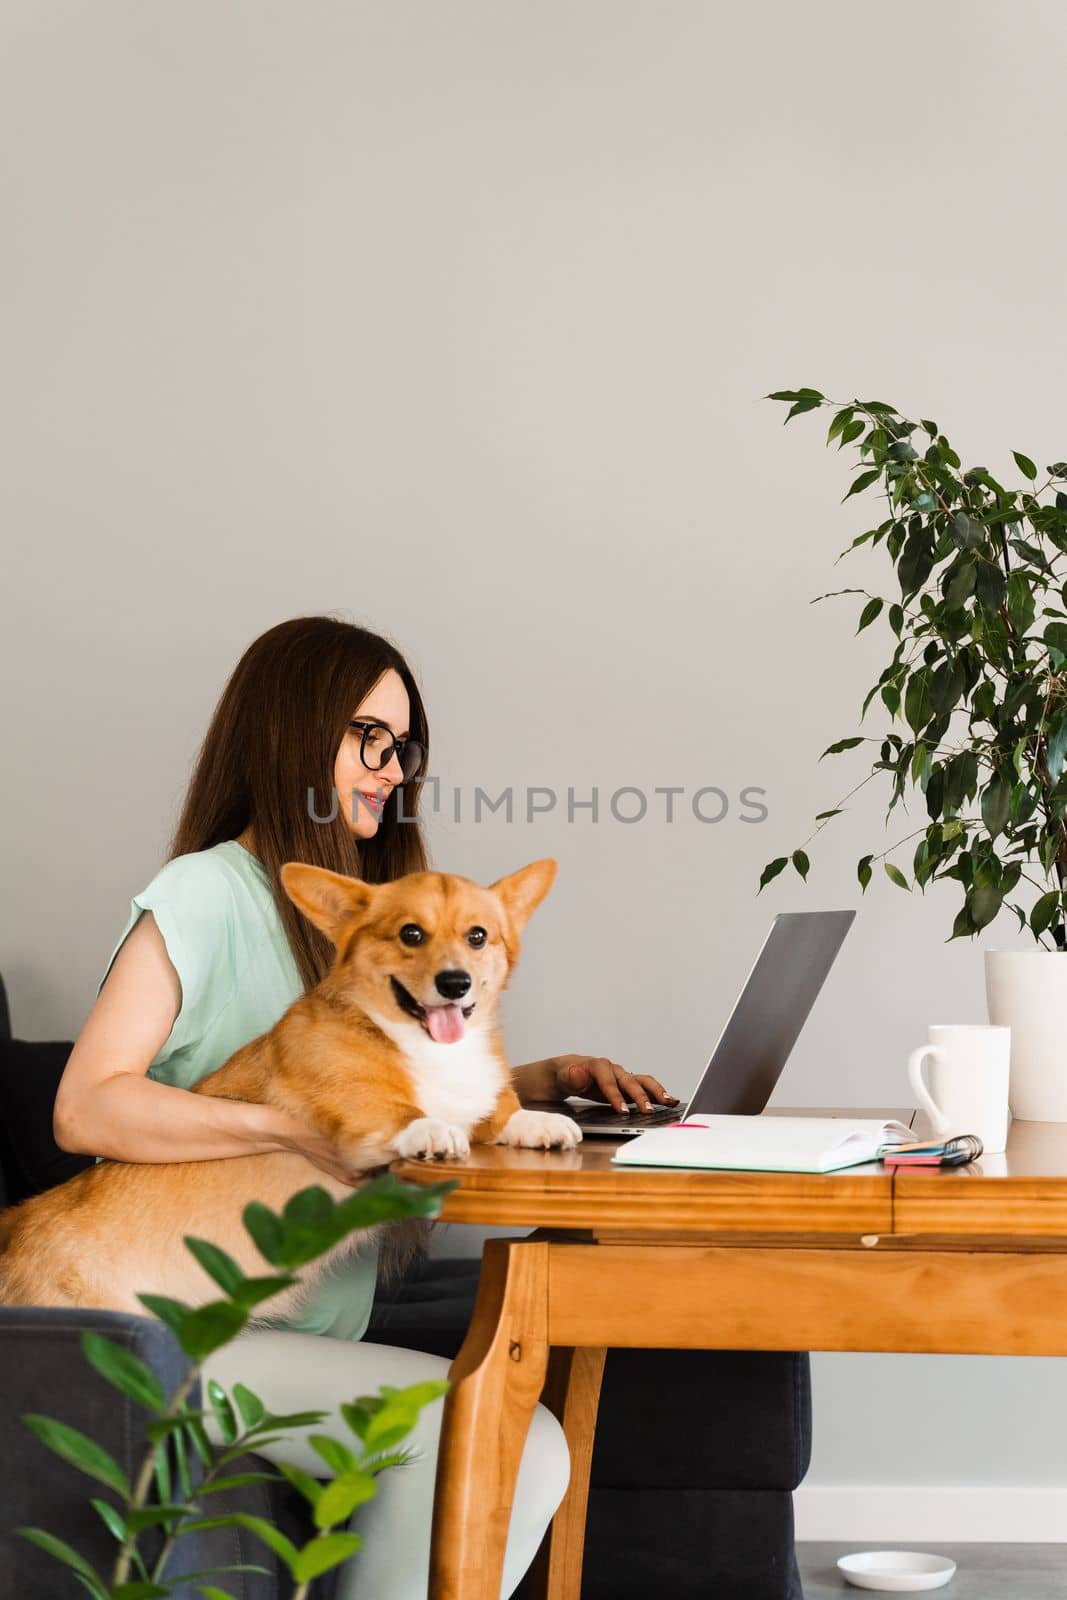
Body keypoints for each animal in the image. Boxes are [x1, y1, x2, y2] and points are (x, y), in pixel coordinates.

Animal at [0, 864, 579, 1324]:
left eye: (478, 936)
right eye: (411, 934)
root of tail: (16, 1228)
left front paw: (540, 1122)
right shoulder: (350, 1100)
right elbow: (392, 1107)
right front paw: (429, 1129)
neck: (421, 1044)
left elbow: (500, 1110)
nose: (455, 983)